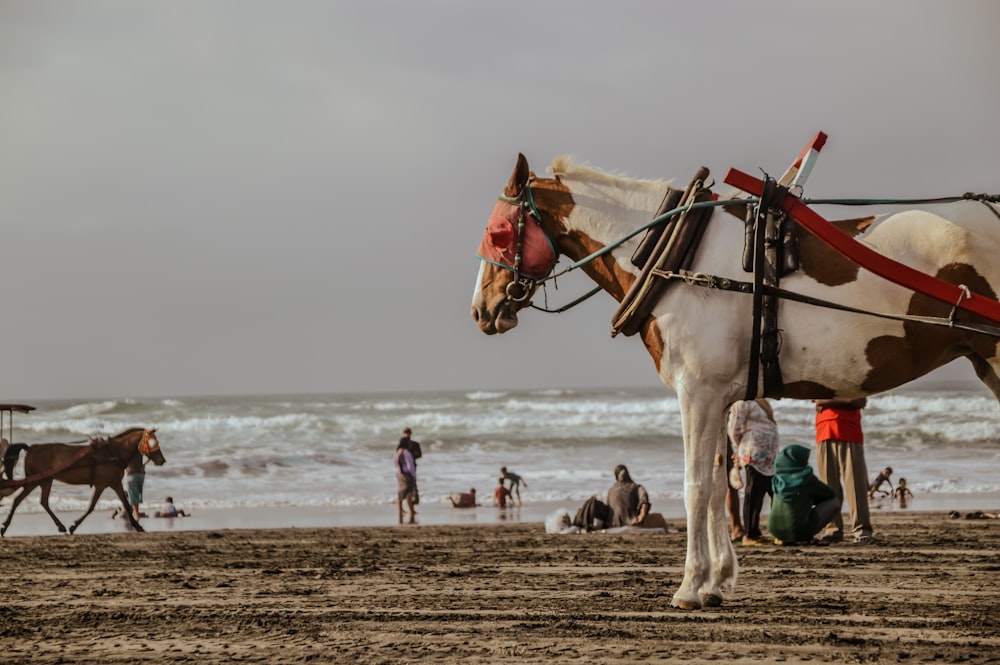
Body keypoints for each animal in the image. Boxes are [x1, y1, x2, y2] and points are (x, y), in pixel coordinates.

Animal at [0, 430, 164, 536]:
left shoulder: (115, 483)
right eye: (152, 442)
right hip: (39, 480)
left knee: (37, 501)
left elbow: (125, 504)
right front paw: (74, 526)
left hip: (43, 481)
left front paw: (137, 526)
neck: (113, 452)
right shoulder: (101, 484)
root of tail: (30, 448)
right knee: (23, 500)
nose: (162, 460)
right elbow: (91, 506)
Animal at [472, 153, 1000, 608]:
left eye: (497, 232)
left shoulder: (697, 392)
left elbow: (696, 487)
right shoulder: (720, 397)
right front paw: (717, 581)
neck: (676, 252)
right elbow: (717, 484)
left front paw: (690, 586)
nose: (481, 310)